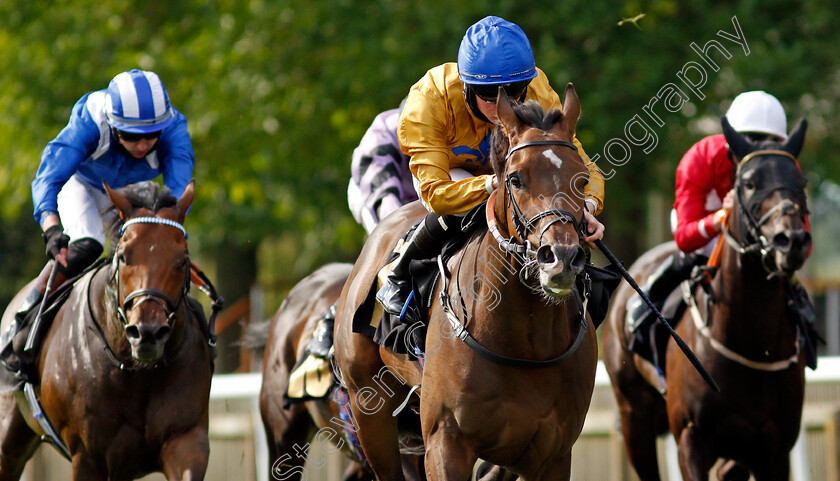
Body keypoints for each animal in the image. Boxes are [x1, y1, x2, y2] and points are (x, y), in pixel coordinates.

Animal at [0, 181, 213, 480]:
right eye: (123, 257)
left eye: (183, 259)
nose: (147, 332)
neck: (136, 371)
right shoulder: (88, 456)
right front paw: (56, 240)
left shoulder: (186, 440)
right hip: (9, 439)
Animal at [332, 84, 600, 478]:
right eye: (515, 178)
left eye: (581, 179)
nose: (561, 258)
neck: (526, 345)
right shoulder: (445, 443)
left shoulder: (551, 455)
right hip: (368, 409)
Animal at [604, 117, 812, 480]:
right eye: (749, 183)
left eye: (800, 181)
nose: (792, 240)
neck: (751, 343)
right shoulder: (691, 438)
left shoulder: (775, 451)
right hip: (634, 415)